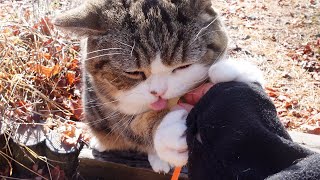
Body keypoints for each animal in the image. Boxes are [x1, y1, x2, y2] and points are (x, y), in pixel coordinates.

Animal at [53, 0, 262, 172]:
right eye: (133, 72)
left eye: (183, 66)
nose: (159, 92)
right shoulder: (105, 99)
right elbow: (128, 124)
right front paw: (165, 130)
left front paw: (235, 71)